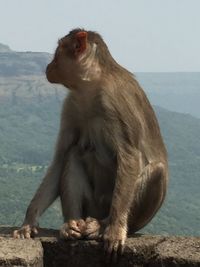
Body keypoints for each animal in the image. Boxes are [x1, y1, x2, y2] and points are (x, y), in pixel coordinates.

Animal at [13, 29, 168, 262]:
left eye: (58, 51)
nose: (49, 65)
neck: (92, 86)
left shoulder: (116, 101)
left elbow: (129, 156)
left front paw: (115, 229)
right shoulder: (71, 105)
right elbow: (60, 158)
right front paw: (29, 221)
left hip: (116, 210)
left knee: (157, 170)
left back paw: (103, 226)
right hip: (91, 207)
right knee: (73, 153)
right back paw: (71, 226)